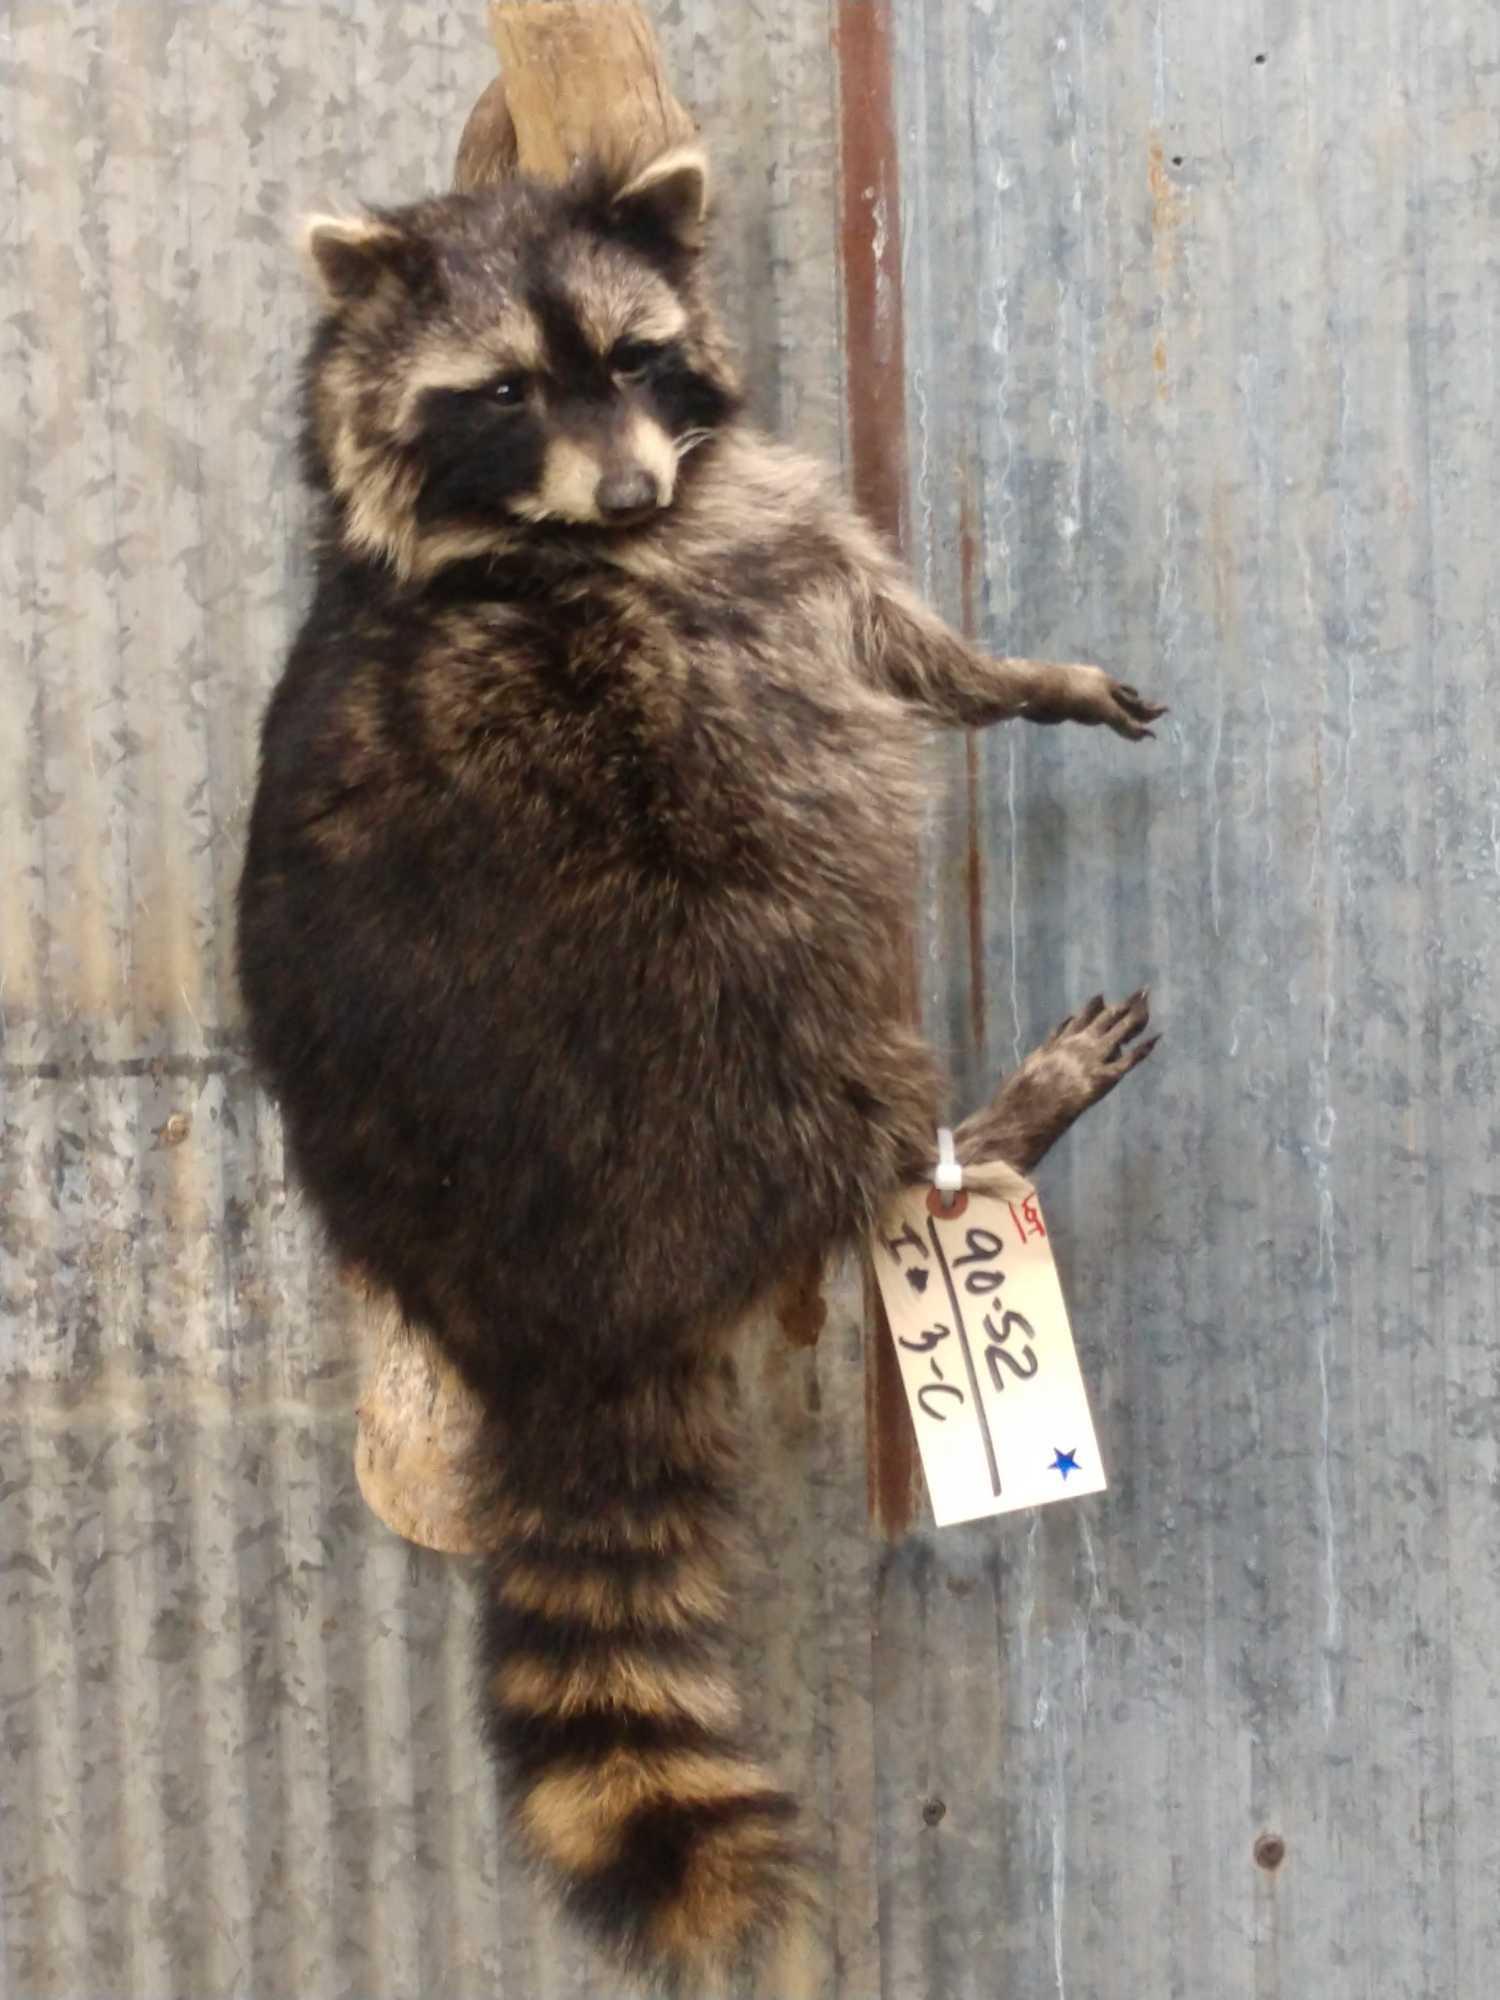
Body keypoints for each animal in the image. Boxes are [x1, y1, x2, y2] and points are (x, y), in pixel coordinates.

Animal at [241, 148, 1168, 1992]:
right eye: (501, 393)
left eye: (632, 357)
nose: (619, 493)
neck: (522, 542)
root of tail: (549, 1322)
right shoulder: (724, 587)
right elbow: (870, 638)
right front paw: (986, 673)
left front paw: (1016, 671)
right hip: (690, 995)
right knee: (811, 959)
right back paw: (974, 1140)